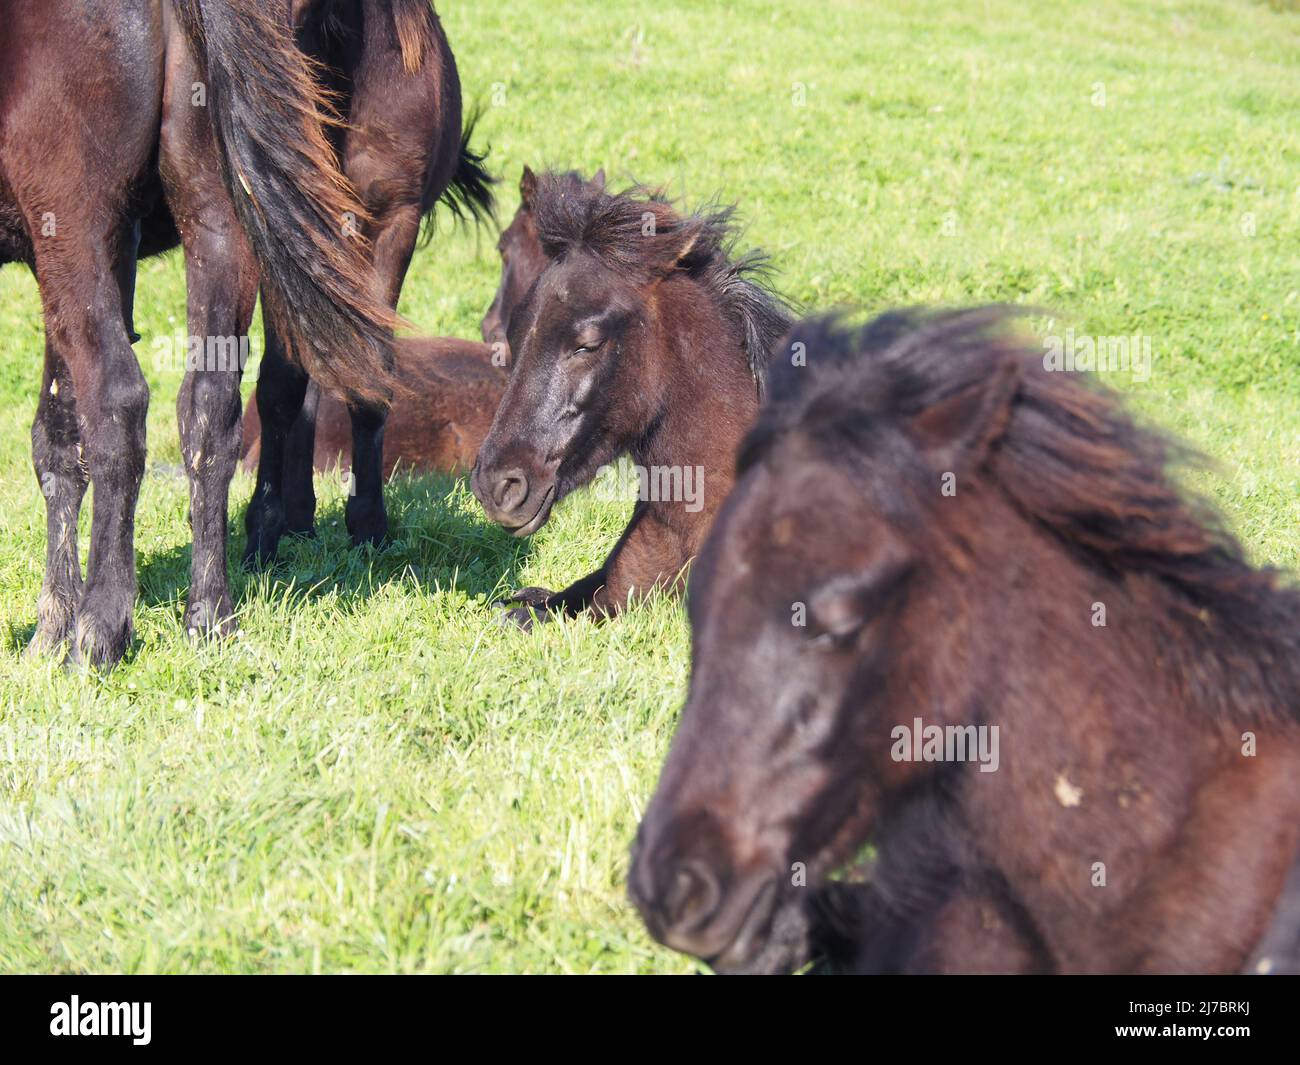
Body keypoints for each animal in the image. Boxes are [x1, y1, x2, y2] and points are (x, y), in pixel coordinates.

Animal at [1, 0, 410, 665]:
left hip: (75, 225)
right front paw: (49, 629)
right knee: (210, 409)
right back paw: (209, 615)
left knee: (118, 400)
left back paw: (100, 630)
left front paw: (63, 626)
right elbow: (57, 437)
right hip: (214, 217)